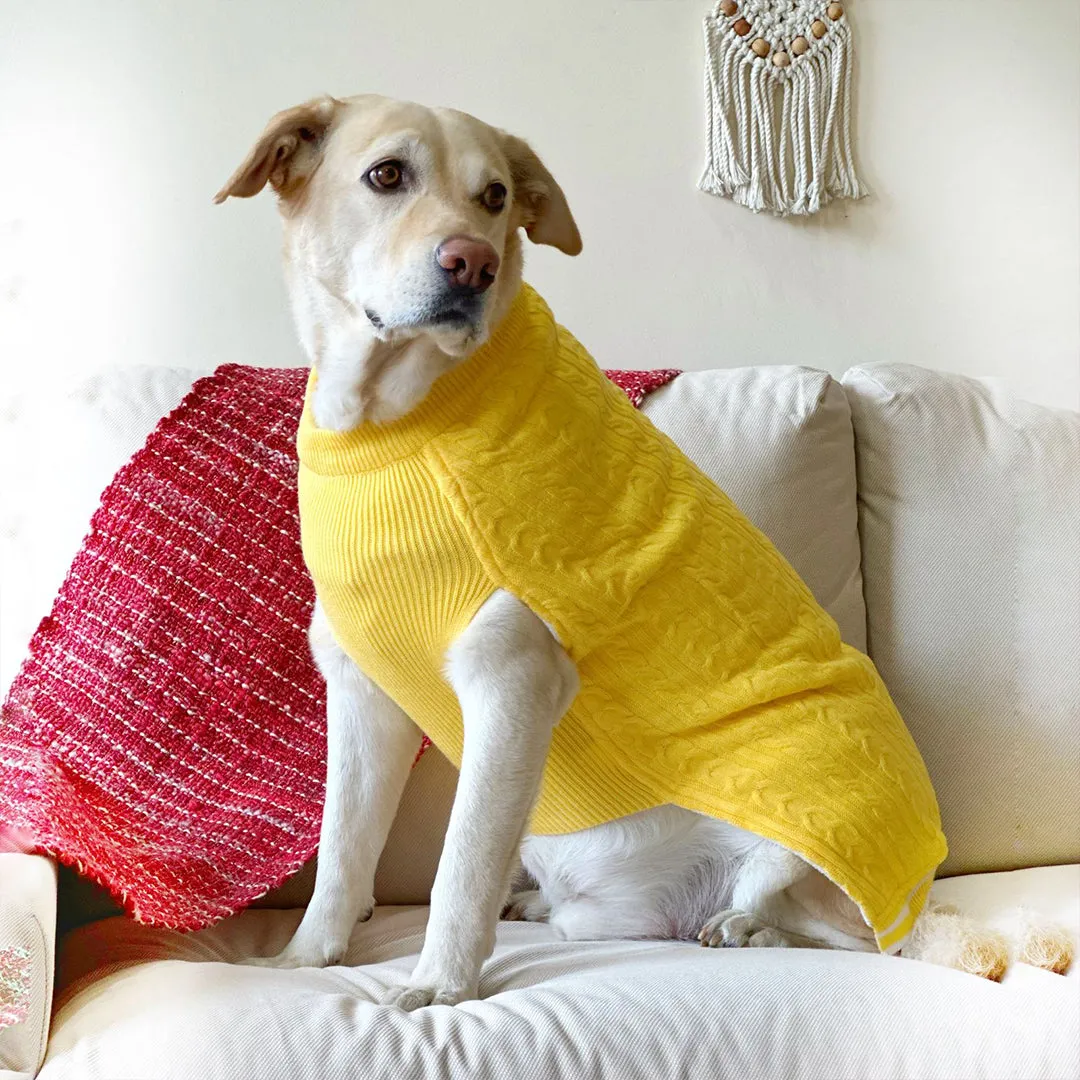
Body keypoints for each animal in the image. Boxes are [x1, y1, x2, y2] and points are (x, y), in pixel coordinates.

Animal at [214, 95, 1067, 1010]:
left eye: (495, 197)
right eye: (385, 175)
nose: (473, 264)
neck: (389, 422)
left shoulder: (511, 683)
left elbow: (460, 865)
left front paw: (441, 985)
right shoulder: (361, 689)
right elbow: (343, 851)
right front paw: (304, 961)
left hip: (802, 849)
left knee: (871, 940)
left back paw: (748, 927)